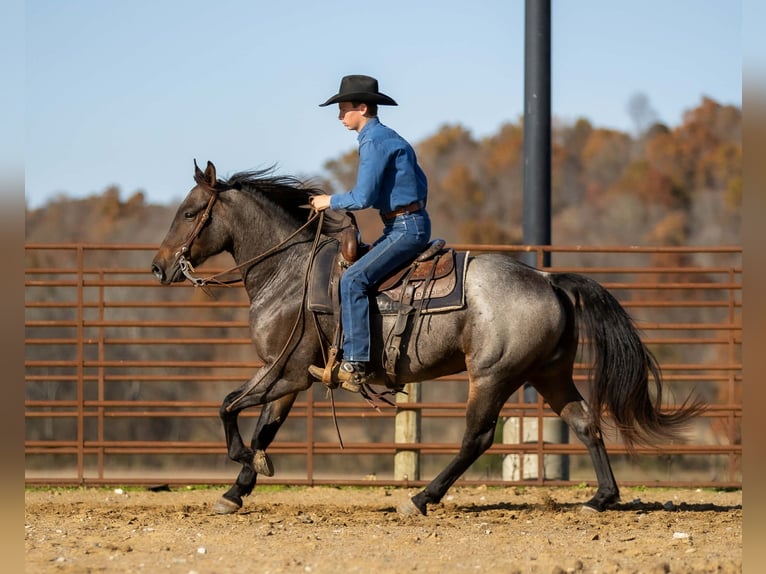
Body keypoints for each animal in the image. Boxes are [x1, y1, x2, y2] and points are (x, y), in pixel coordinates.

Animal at [151, 160, 703, 516]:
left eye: (189, 211)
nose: (158, 267)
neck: (287, 274)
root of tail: (548, 280)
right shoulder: (286, 376)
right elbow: (263, 425)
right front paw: (237, 490)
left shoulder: (284, 373)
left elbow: (227, 406)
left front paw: (246, 464)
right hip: (548, 374)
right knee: (586, 423)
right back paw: (601, 499)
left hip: (493, 376)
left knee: (477, 437)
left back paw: (421, 498)